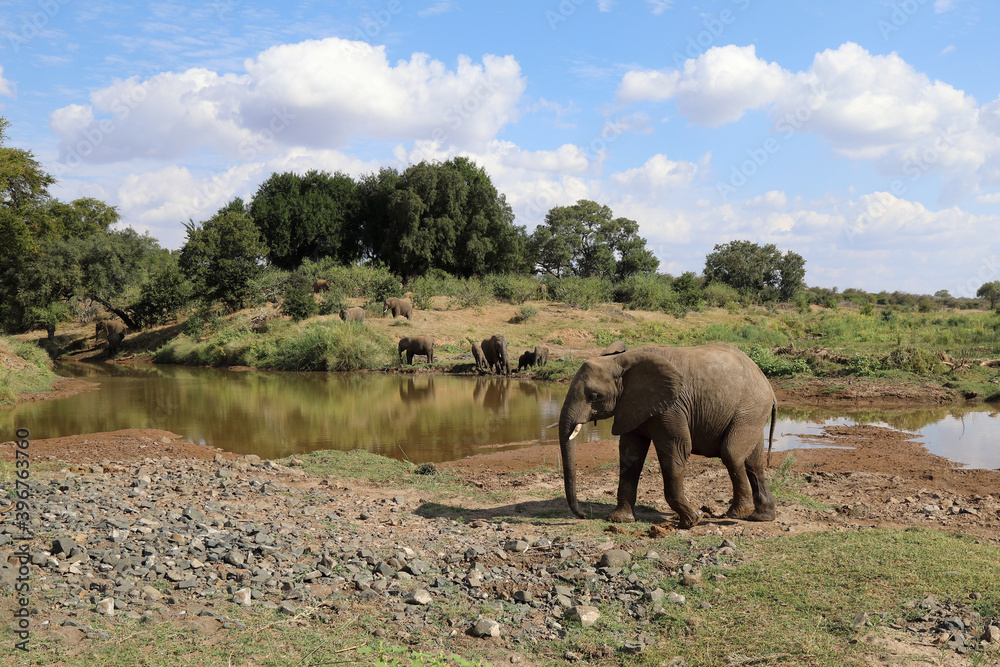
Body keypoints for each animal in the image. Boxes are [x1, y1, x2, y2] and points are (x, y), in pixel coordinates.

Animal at [558, 343, 777, 529]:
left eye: (594, 396)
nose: (583, 515)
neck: (619, 360)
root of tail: (767, 383)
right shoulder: (630, 405)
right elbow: (630, 454)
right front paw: (620, 519)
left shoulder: (672, 407)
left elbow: (675, 449)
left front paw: (694, 519)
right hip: (753, 412)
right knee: (754, 462)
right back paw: (762, 517)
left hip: (750, 409)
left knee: (732, 454)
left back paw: (738, 514)